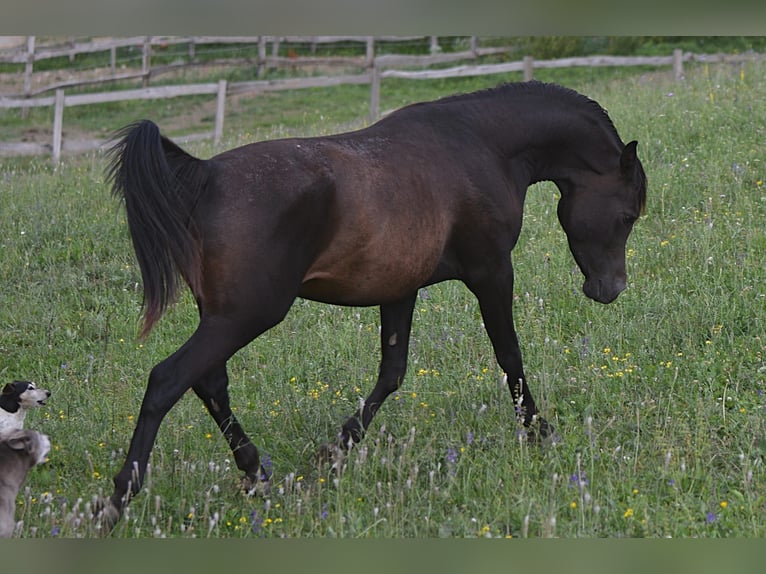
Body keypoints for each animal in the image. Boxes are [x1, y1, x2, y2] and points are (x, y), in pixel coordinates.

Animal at [99, 81, 644, 532]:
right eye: (627, 214)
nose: (611, 288)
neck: (481, 146)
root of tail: (206, 174)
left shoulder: (401, 289)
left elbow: (392, 372)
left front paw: (336, 450)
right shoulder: (492, 272)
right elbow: (509, 356)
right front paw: (538, 431)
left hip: (223, 317)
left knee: (209, 383)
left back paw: (256, 474)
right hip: (243, 316)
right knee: (167, 380)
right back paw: (118, 501)